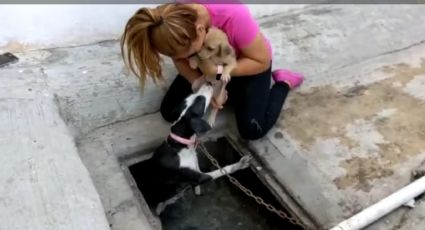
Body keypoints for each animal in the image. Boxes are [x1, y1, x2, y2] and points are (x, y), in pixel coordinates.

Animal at [134, 82, 250, 216]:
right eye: (201, 101)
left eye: (191, 96)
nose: (209, 82)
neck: (179, 146)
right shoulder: (199, 177)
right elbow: (222, 170)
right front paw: (241, 164)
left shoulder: (195, 166)